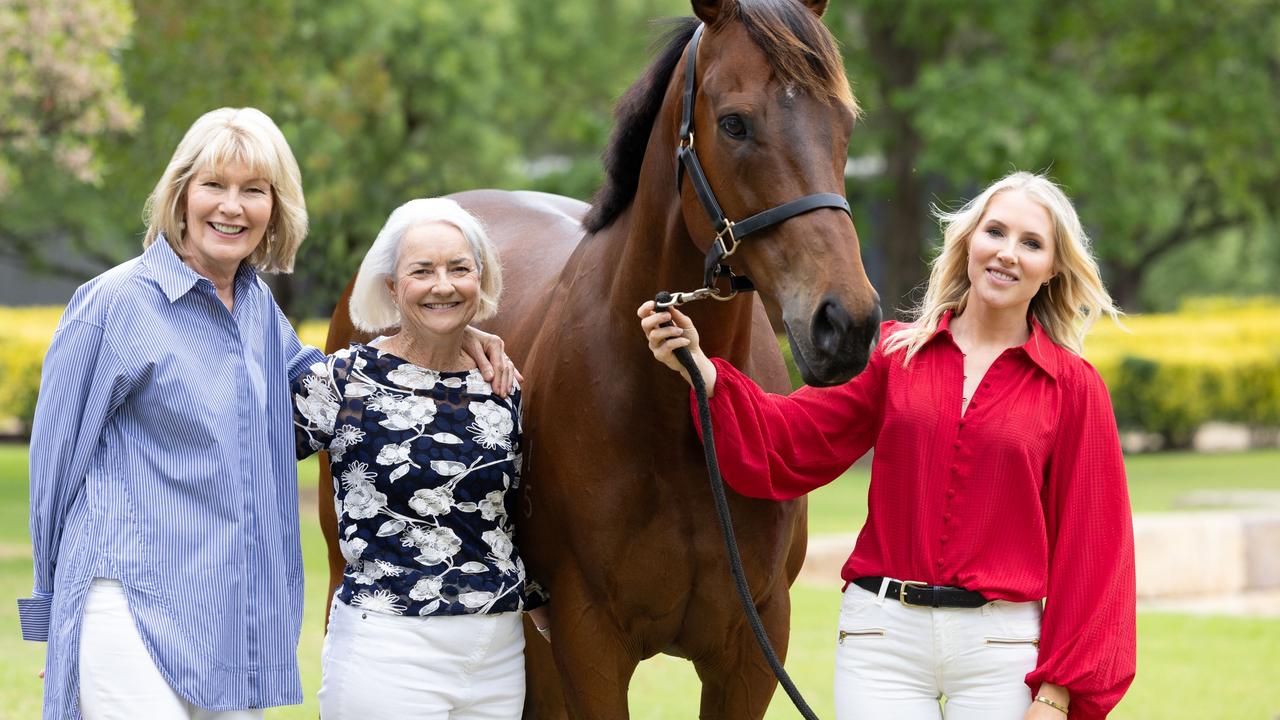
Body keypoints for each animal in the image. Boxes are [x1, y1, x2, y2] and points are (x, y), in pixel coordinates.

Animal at [317, 1, 880, 712]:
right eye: (734, 123)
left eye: (845, 123)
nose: (846, 324)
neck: (676, 421)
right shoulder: (590, 642)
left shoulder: (752, 650)